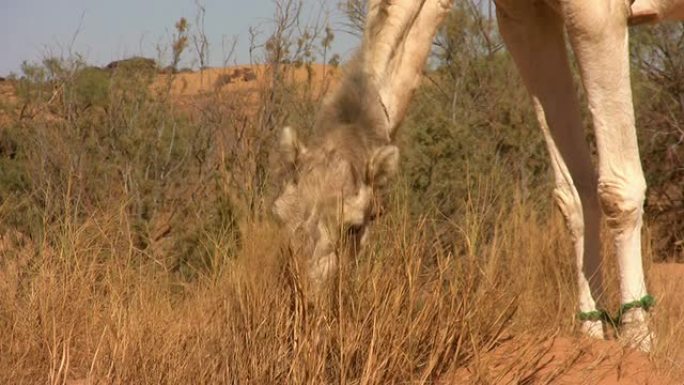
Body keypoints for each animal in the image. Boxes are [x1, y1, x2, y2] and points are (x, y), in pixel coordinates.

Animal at [272, 0, 684, 352]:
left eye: (356, 225)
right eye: (279, 216)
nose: (311, 314)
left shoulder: (598, 12)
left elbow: (617, 189)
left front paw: (640, 342)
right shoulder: (525, 18)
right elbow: (573, 194)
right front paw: (592, 337)